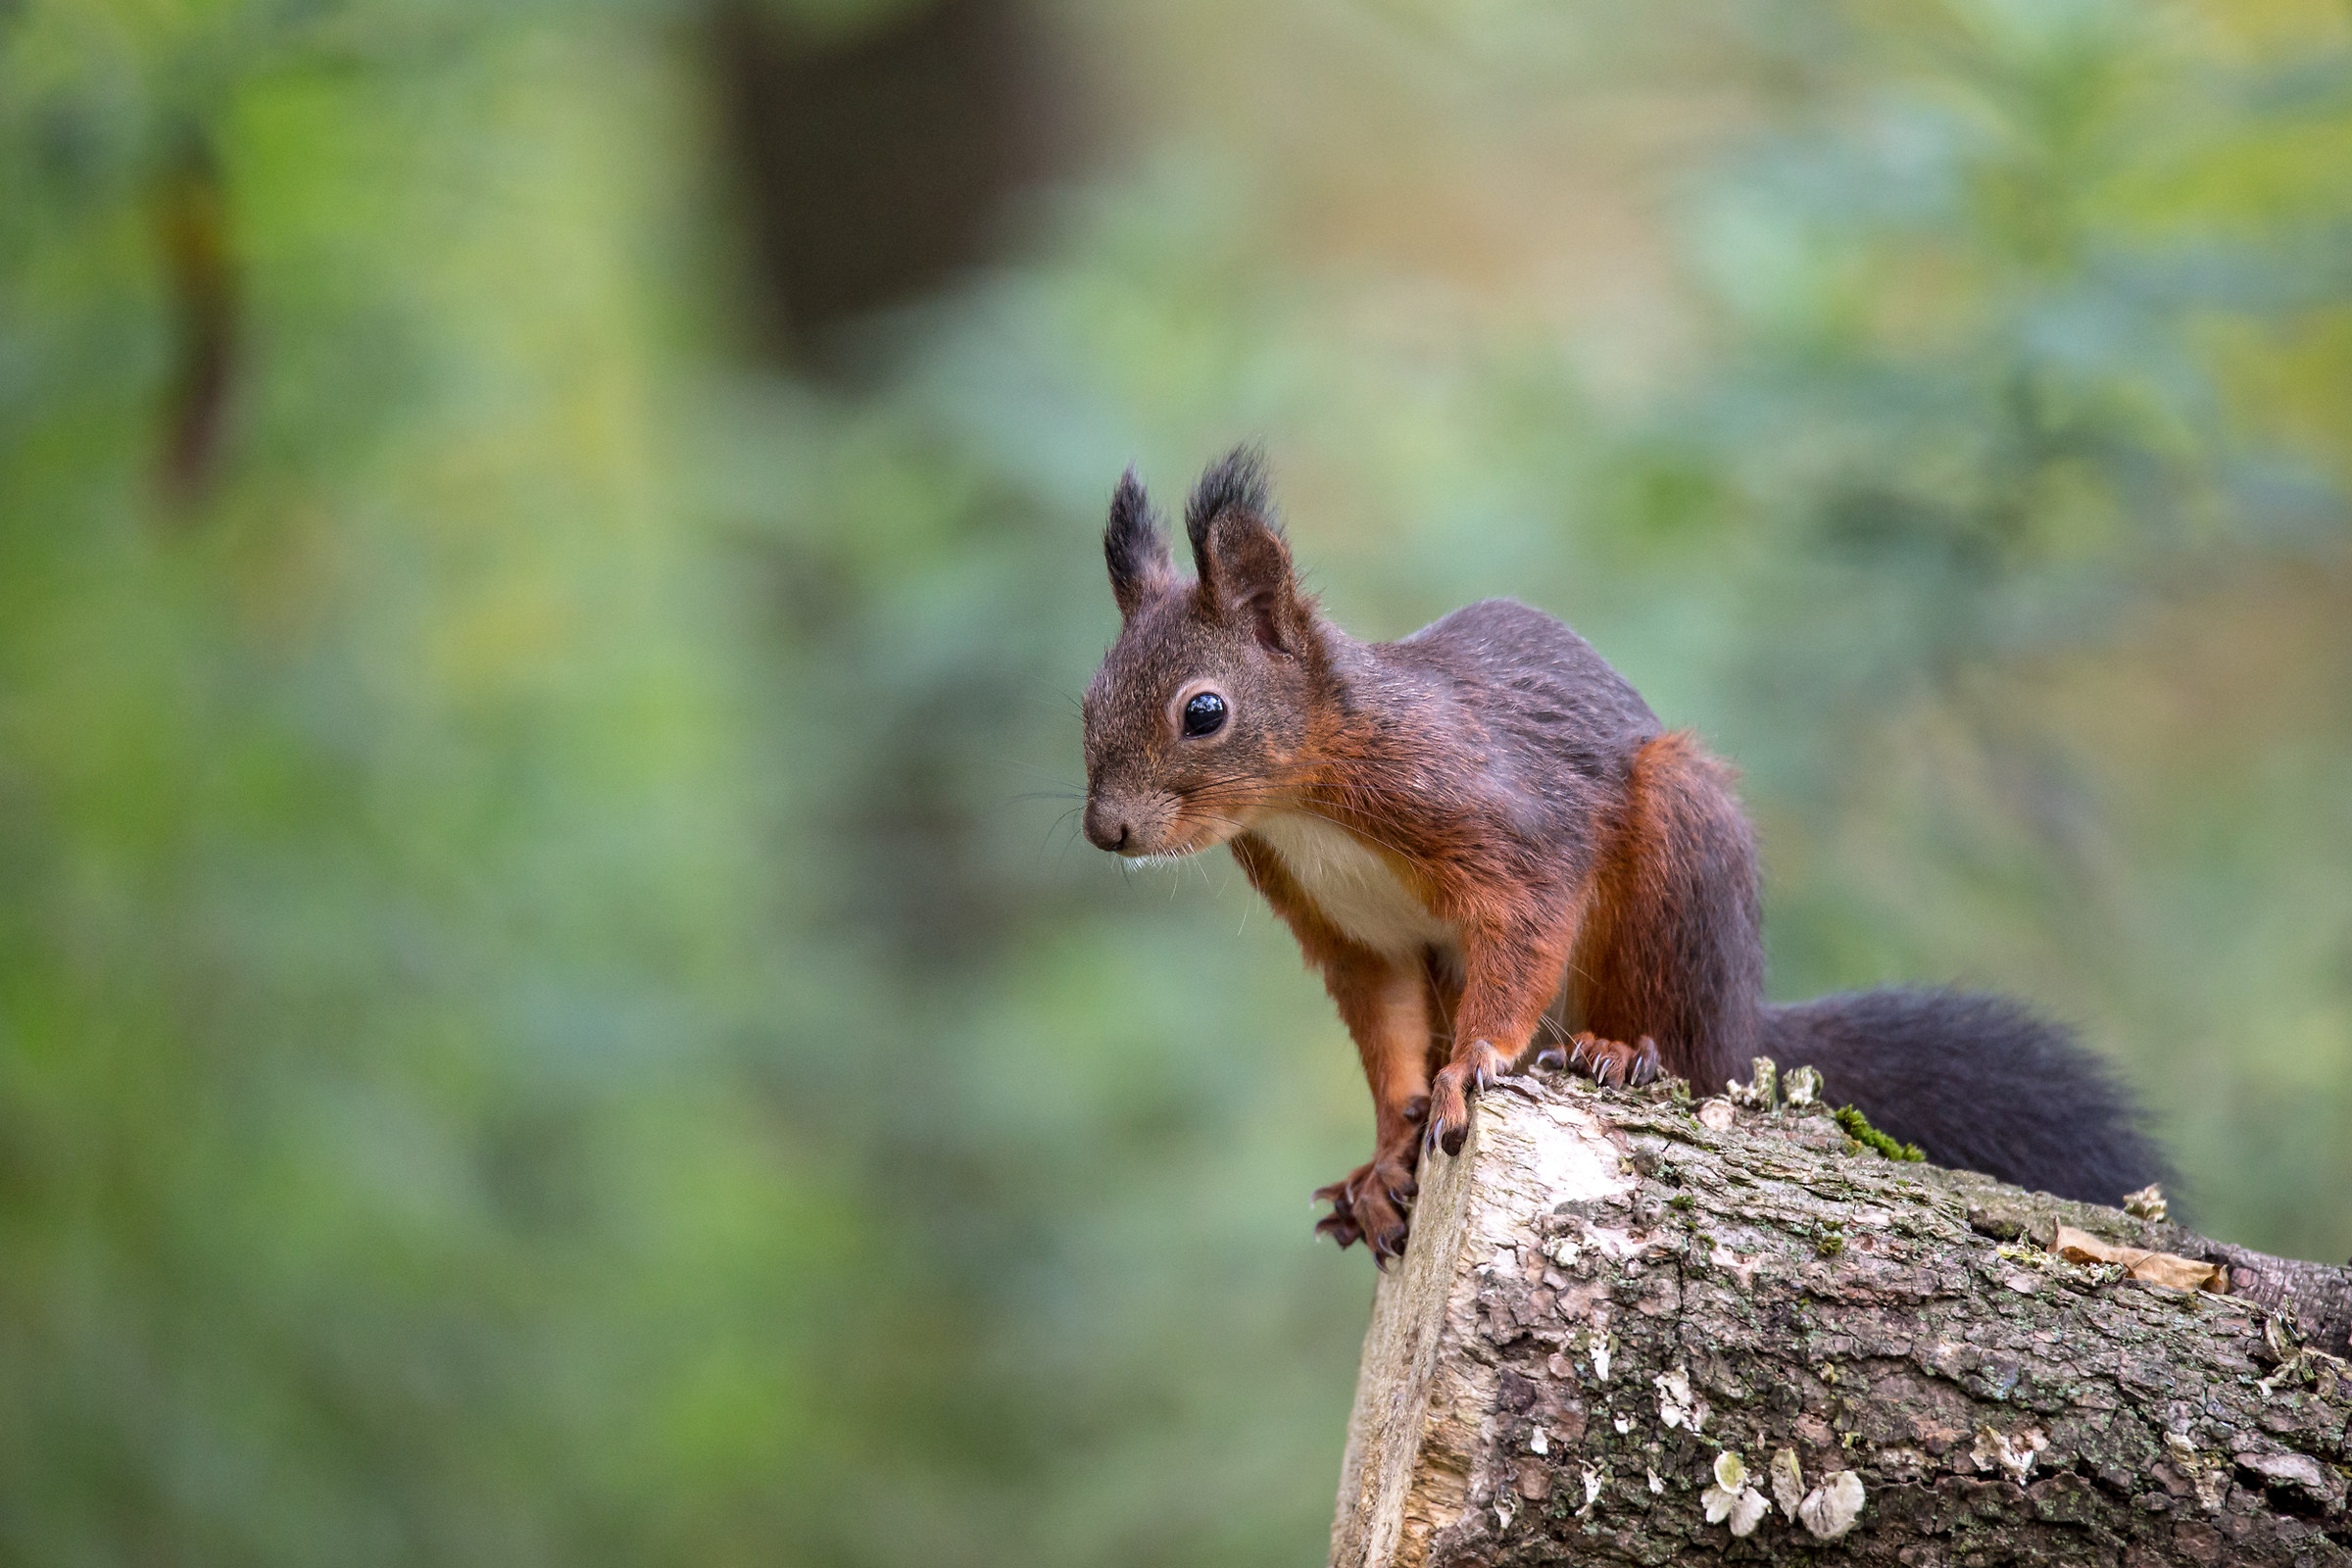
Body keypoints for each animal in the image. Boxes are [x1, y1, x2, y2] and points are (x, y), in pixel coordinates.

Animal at [1080, 449, 2166, 1264]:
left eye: (1204, 712)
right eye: (1088, 702)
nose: (1108, 831)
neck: (1306, 797)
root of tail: (1744, 1023)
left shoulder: (1498, 817)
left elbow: (1525, 926)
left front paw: (1472, 1066)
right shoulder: (1355, 933)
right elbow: (1383, 1033)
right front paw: (1388, 1150)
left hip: (1680, 860)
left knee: (1686, 1053)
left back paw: (1619, 1051)